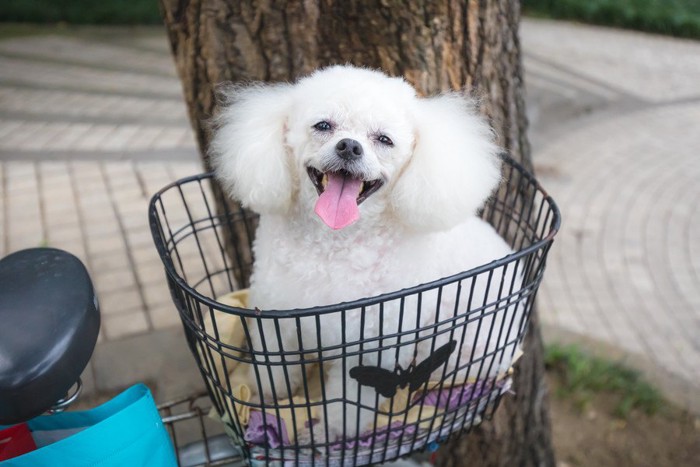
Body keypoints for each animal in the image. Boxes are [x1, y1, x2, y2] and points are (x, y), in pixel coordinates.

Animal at [211, 65, 524, 442]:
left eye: (384, 140)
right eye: (323, 126)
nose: (349, 146)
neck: (333, 242)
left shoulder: (370, 349)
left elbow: (347, 404)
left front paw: (331, 431)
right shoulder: (276, 315)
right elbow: (276, 369)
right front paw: (269, 395)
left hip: (468, 351)